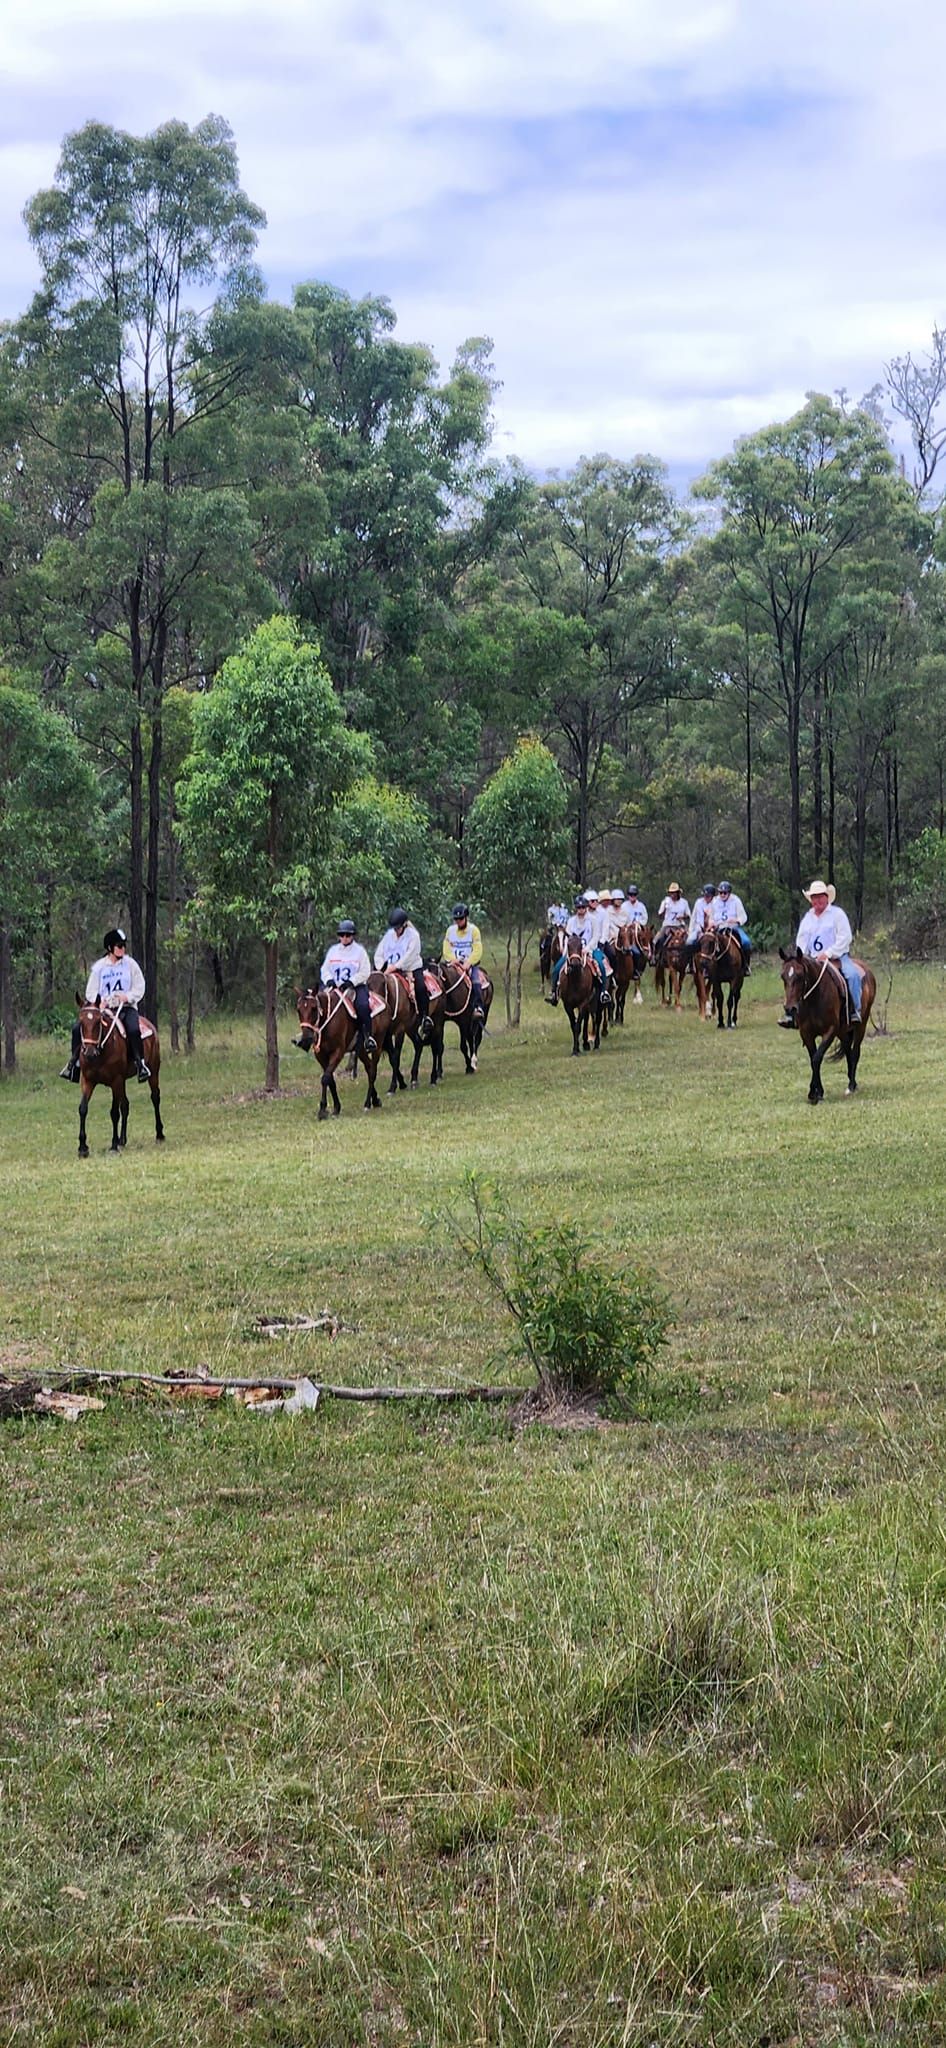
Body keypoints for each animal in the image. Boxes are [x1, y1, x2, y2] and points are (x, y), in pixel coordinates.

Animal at [73, 995, 164, 1163]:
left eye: (98, 1021)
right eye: (81, 1022)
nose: (89, 1053)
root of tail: (150, 1025)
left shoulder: (115, 1080)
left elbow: (114, 1113)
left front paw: (113, 1146)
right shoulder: (88, 1081)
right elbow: (83, 1109)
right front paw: (83, 1148)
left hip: (153, 1072)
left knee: (155, 1098)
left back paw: (159, 1134)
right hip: (123, 1082)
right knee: (126, 1105)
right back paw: (123, 1140)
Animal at [298, 978, 395, 1122]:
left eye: (314, 1008)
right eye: (298, 1010)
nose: (306, 1039)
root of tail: (385, 1002)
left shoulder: (338, 1052)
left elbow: (325, 1078)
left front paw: (322, 1110)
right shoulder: (321, 1055)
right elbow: (330, 1080)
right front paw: (336, 1108)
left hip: (378, 1043)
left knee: (373, 1071)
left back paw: (367, 1103)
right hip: (361, 1050)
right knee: (369, 1067)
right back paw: (375, 1099)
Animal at [778, 954, 876, 1114]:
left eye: (799, 975)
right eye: (783, 976)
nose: (790, 1009)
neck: (814, 999)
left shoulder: (829, 1031)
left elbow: (817, 1059)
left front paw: (815, 1094)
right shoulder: (806, 1034)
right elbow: (813, 1059)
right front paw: (816, 1092)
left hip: (861, 1024)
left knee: (855, 1052)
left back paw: (851, 1086)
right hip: (843, 1031)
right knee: (848, 1050)